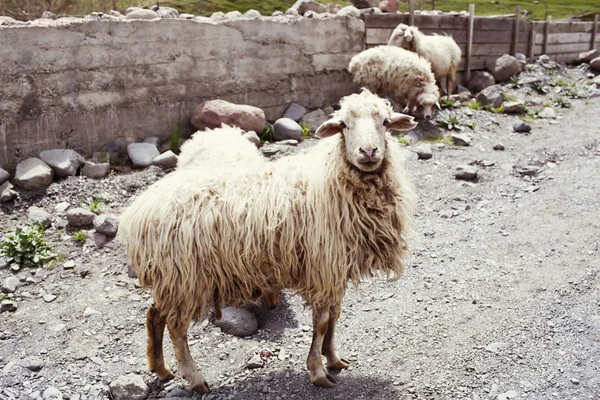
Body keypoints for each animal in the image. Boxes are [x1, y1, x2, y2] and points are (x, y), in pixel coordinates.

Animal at [116, 89, 418, 392]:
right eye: (343, 124)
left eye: (386, 122)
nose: (368, 152)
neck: (332, 181)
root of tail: (137, 211)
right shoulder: (323, 268)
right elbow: (322, 323)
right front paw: (317, 371)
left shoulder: (334, 270)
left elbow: (334, 317)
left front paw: (333, 358)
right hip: (184, 276)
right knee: (176, 328)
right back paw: (195, 378)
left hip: (173, 278)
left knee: (154, 315)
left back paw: (161, 368)